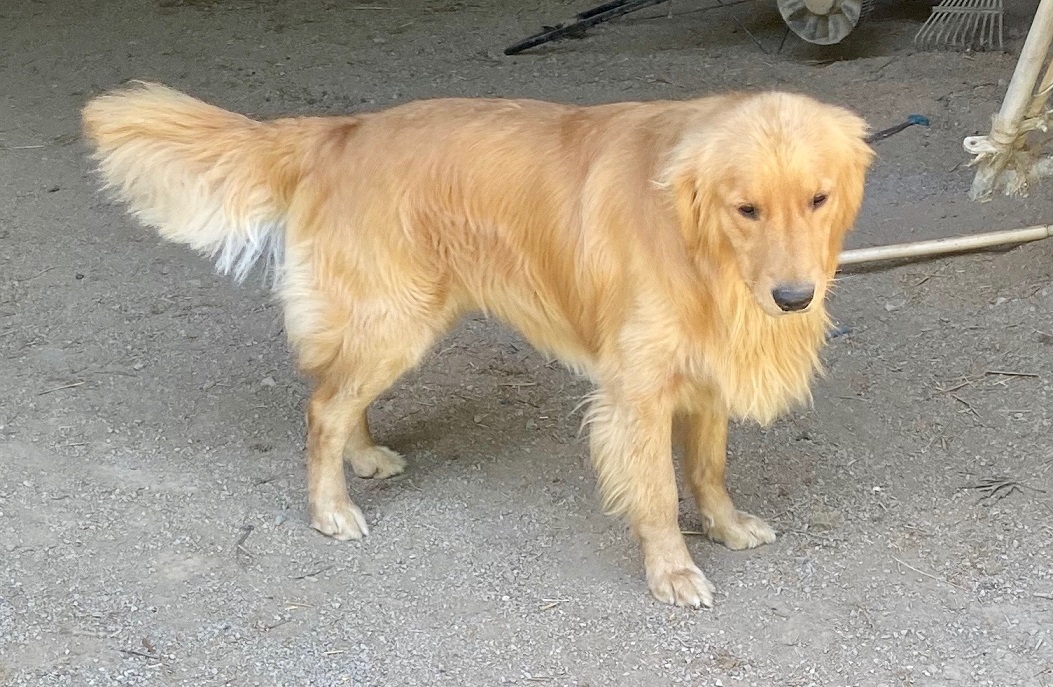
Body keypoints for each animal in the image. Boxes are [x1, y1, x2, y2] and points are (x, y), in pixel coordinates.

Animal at [82, 81, 871, 606]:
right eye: (747, 209)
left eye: (818, 198)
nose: (793, 297)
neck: (699, 245)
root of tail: (341, 130)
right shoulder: (638, 387)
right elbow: (653, 489)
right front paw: (671, 569)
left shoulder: (704, 366)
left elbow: (707, 467)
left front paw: (726, 525)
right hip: (396, 319)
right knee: (322, 407)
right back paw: (330, 508)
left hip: (393, 323)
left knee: (340, 396)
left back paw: (364, 456)